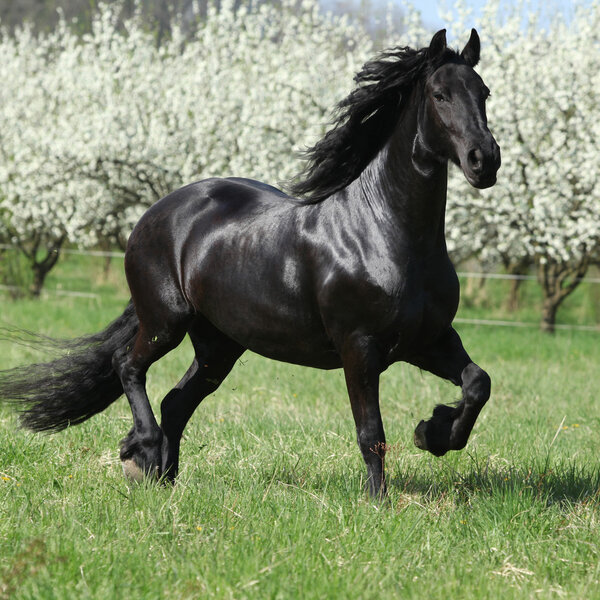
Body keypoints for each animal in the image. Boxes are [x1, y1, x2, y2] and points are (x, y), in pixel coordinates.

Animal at [0, 29, 502, 496]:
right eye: (439, 94)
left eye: (483, 92)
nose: (485, 160)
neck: (385, 234)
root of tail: (155, 213)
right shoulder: (359, 347)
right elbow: (371, 434)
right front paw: (378, 501)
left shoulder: (428, 339)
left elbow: (478, 383)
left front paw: (433, 433)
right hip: (166, 320)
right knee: (129, 366)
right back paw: (139, 453)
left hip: (218, 343)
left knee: (175, 402)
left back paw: (163, 478)